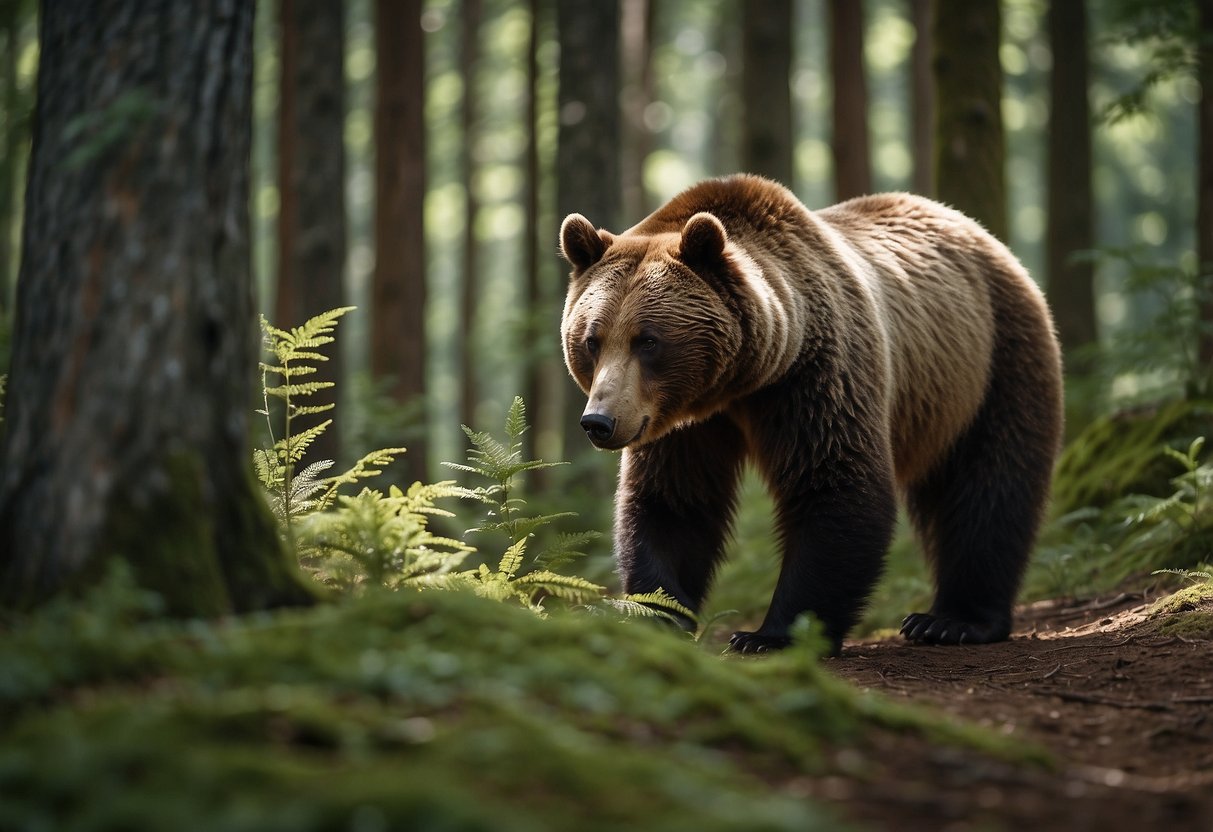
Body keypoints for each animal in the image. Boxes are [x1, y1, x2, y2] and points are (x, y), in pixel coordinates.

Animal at [557, 177, 1062, 659]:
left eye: (648, 340)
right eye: (591, 339)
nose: (599, 421)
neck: (737, 386)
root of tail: (979, 231)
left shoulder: (815, 376)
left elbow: (833, 484)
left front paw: (770, 635)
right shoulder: (680, 423)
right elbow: (674, 502)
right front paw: (657, 615)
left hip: (994, 360)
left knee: (992, 483)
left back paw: (952, 621)